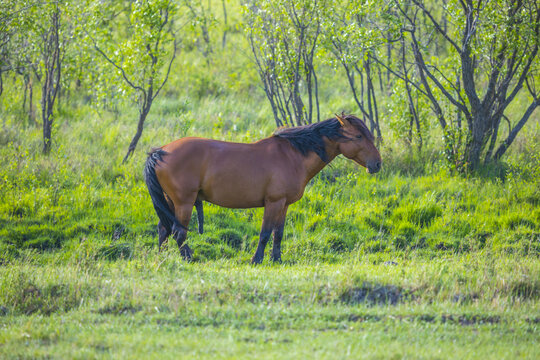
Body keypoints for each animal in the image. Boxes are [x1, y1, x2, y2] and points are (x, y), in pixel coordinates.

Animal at [143, 114, 380, 262]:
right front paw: (256, 259)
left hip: (171, 202)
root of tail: (160, 151)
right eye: (359, 136)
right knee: (178, 232)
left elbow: (278, 233)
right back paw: (188, 258)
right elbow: (265, 233)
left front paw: (277, 259)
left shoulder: (284, 205)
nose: (377, 164)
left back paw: (162, 256)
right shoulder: (273, 202)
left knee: (164, 229)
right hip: (184, 202)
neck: (293, 155)